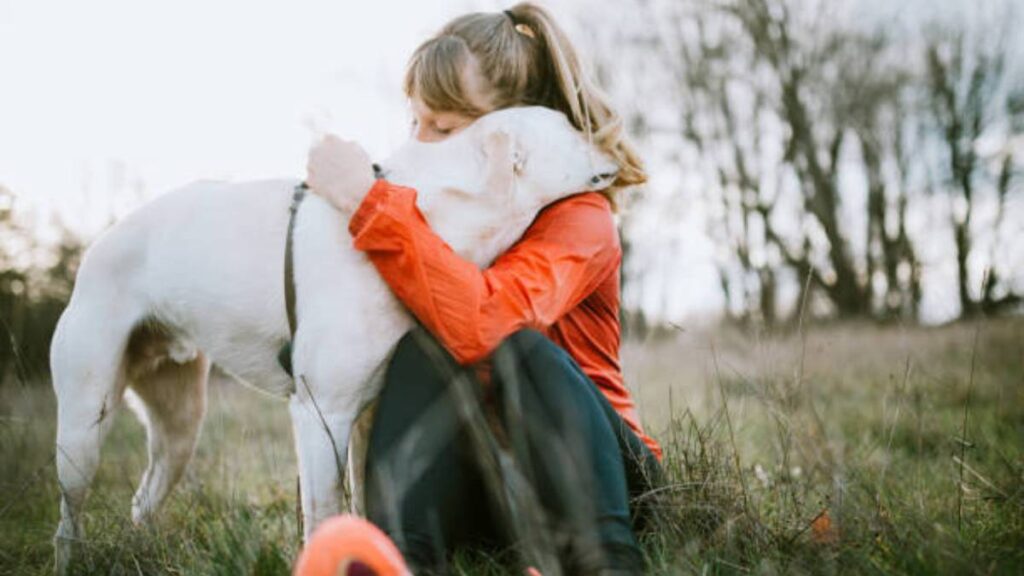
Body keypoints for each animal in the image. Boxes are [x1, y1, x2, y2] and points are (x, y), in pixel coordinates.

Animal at [49, 106, 614, 569]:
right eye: (568, 127)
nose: (613, 136)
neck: (430, 215)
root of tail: (98, 243)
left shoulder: (366, 415)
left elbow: (362, 507)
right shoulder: (322, 413)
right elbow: (324, 514)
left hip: (179, 426)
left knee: (142, 500)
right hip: (84, 427)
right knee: (68, 521)